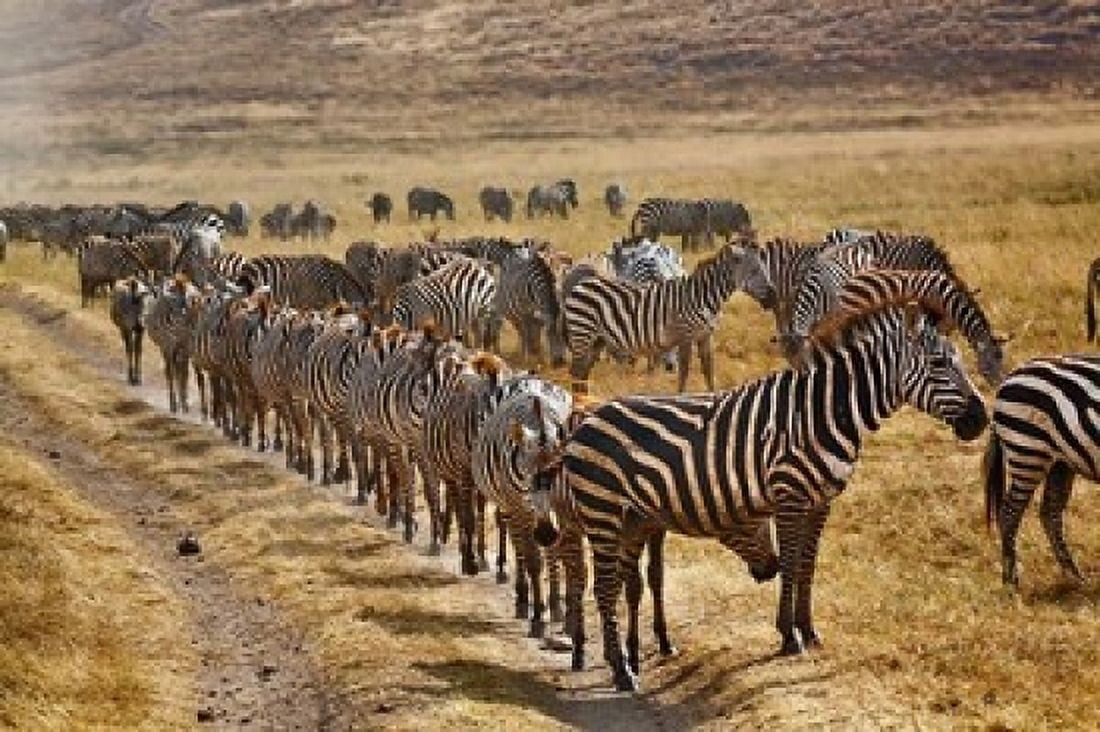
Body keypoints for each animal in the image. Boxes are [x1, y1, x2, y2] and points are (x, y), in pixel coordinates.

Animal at [146, 276, 201, 413]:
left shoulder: (177, 345)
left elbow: (179, 373)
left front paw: (180, 403)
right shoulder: (171, 346)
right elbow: (173, 372)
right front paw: (176, 403)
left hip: (178, 347)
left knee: (178, 371)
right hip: (176, 347)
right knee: (176, 370)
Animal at [559, 300, 989, 691]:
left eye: (958, 361)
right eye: (938, 363)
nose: (981, 420)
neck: (824, 412)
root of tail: (584, 420)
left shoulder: (820, 502)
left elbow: (807, 566)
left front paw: (809, 630)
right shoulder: (789, 494)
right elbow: (791, 564)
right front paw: (789, 636)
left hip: (631, 517)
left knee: (621, 582)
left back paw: (626, 660)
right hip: (602, 511)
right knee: (605, 587)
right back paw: (622, 672)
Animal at [564, 243, 776, 392]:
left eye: (764, 270)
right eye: (754, 272)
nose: (774, 296)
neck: (702, 297)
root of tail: (582, 284)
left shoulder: (705, 336)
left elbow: (709, 371)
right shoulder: (685, 336)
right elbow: (684, 372)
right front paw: (681, 396)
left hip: (597, 339)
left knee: (582, 372)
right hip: (582, 332)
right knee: (576, 371)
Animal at [983, 355, 1099, 588]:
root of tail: (1009, 377)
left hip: (1061, 462)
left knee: (1050, 513)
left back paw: (1073, 576)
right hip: (1029, 454)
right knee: (1009, 514)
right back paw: (1011, 581)